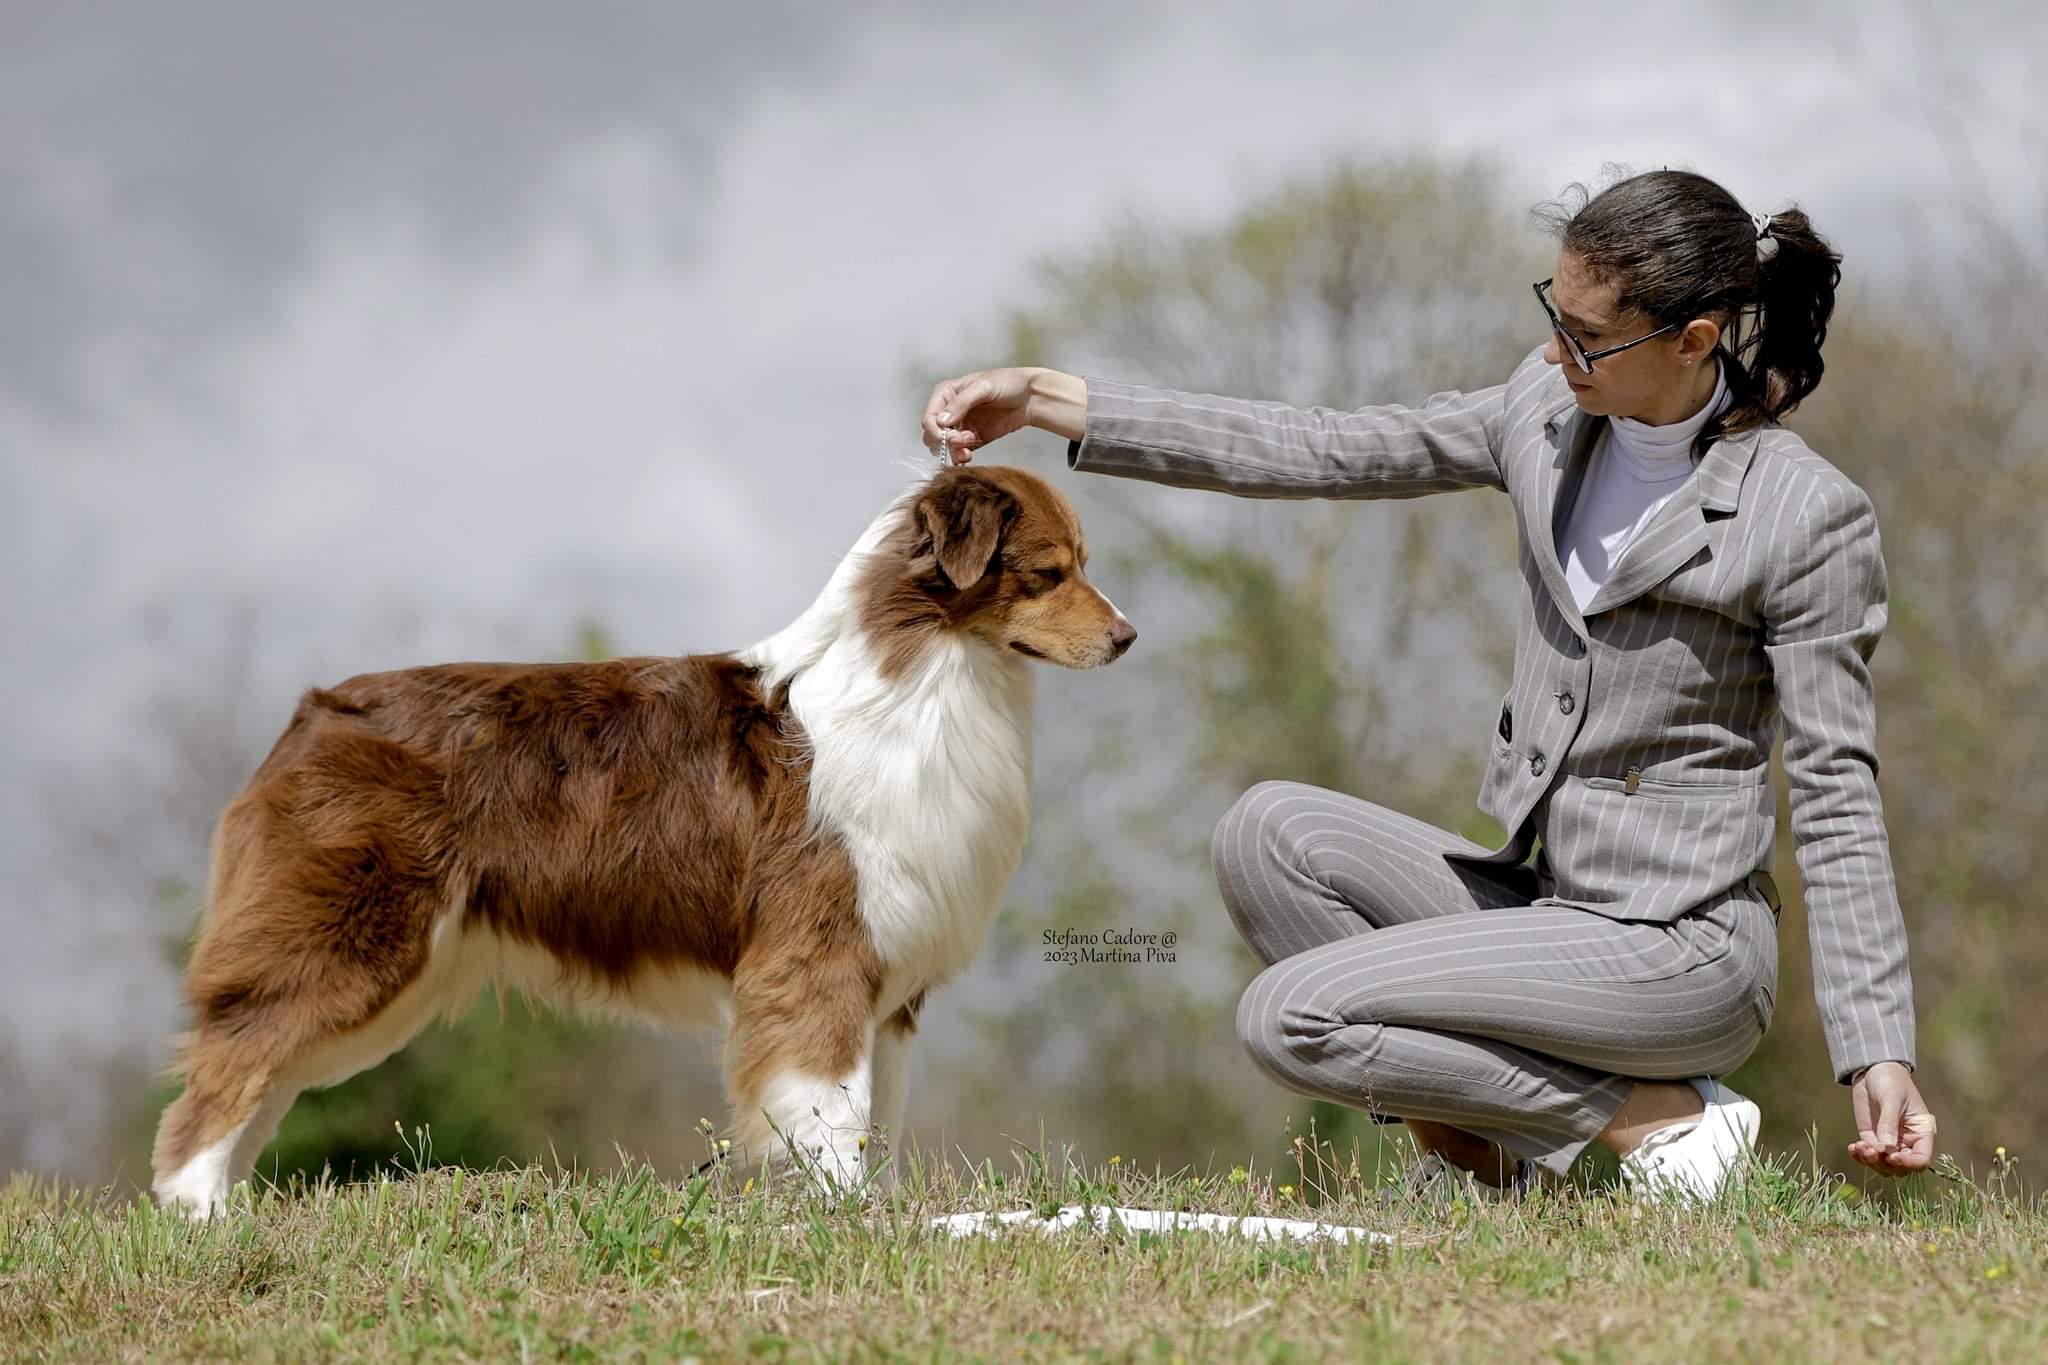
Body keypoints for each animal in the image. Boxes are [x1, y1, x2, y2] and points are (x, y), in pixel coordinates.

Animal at [148, 462, 1138, 1219]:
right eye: (1049, 572)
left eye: (1081, 564)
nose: (1128, 636)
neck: (929, 672)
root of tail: (312, 715)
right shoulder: (818, 954)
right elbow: (831, 1105)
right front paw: (845, 1218)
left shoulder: (891, 977)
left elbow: (879, 1113)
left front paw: (880, 1215)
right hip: (346, 941)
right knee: (222, 1078)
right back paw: (202, 1217)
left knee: (260, 1080)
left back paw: (233, 1215)